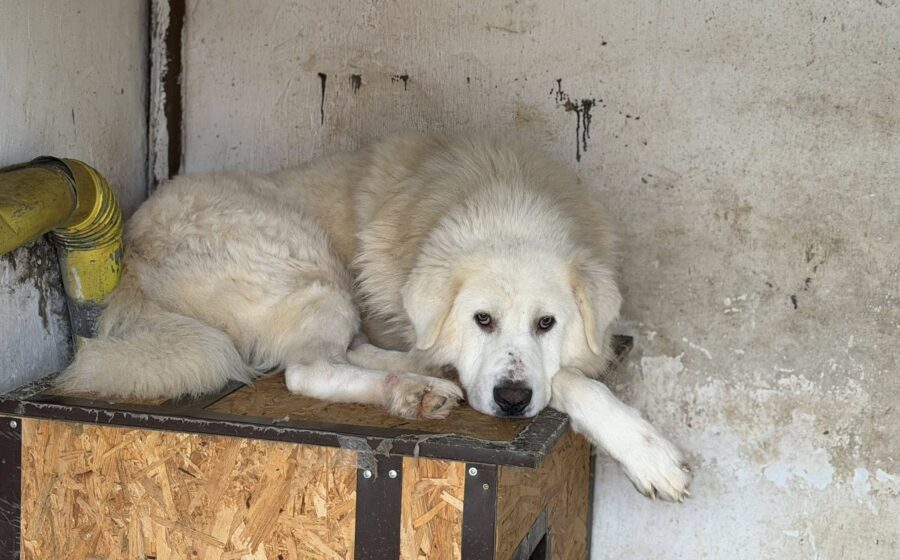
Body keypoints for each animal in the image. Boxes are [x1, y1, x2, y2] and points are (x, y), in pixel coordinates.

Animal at [57, 132, 691, 500]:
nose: (512, 402)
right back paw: (410, 388)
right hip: (311, 265)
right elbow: (569, 380)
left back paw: (419, 377)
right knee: (306, 370)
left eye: (547, 324)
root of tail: (133, 257)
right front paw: (648, 452)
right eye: (482, 320)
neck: (505, 199)